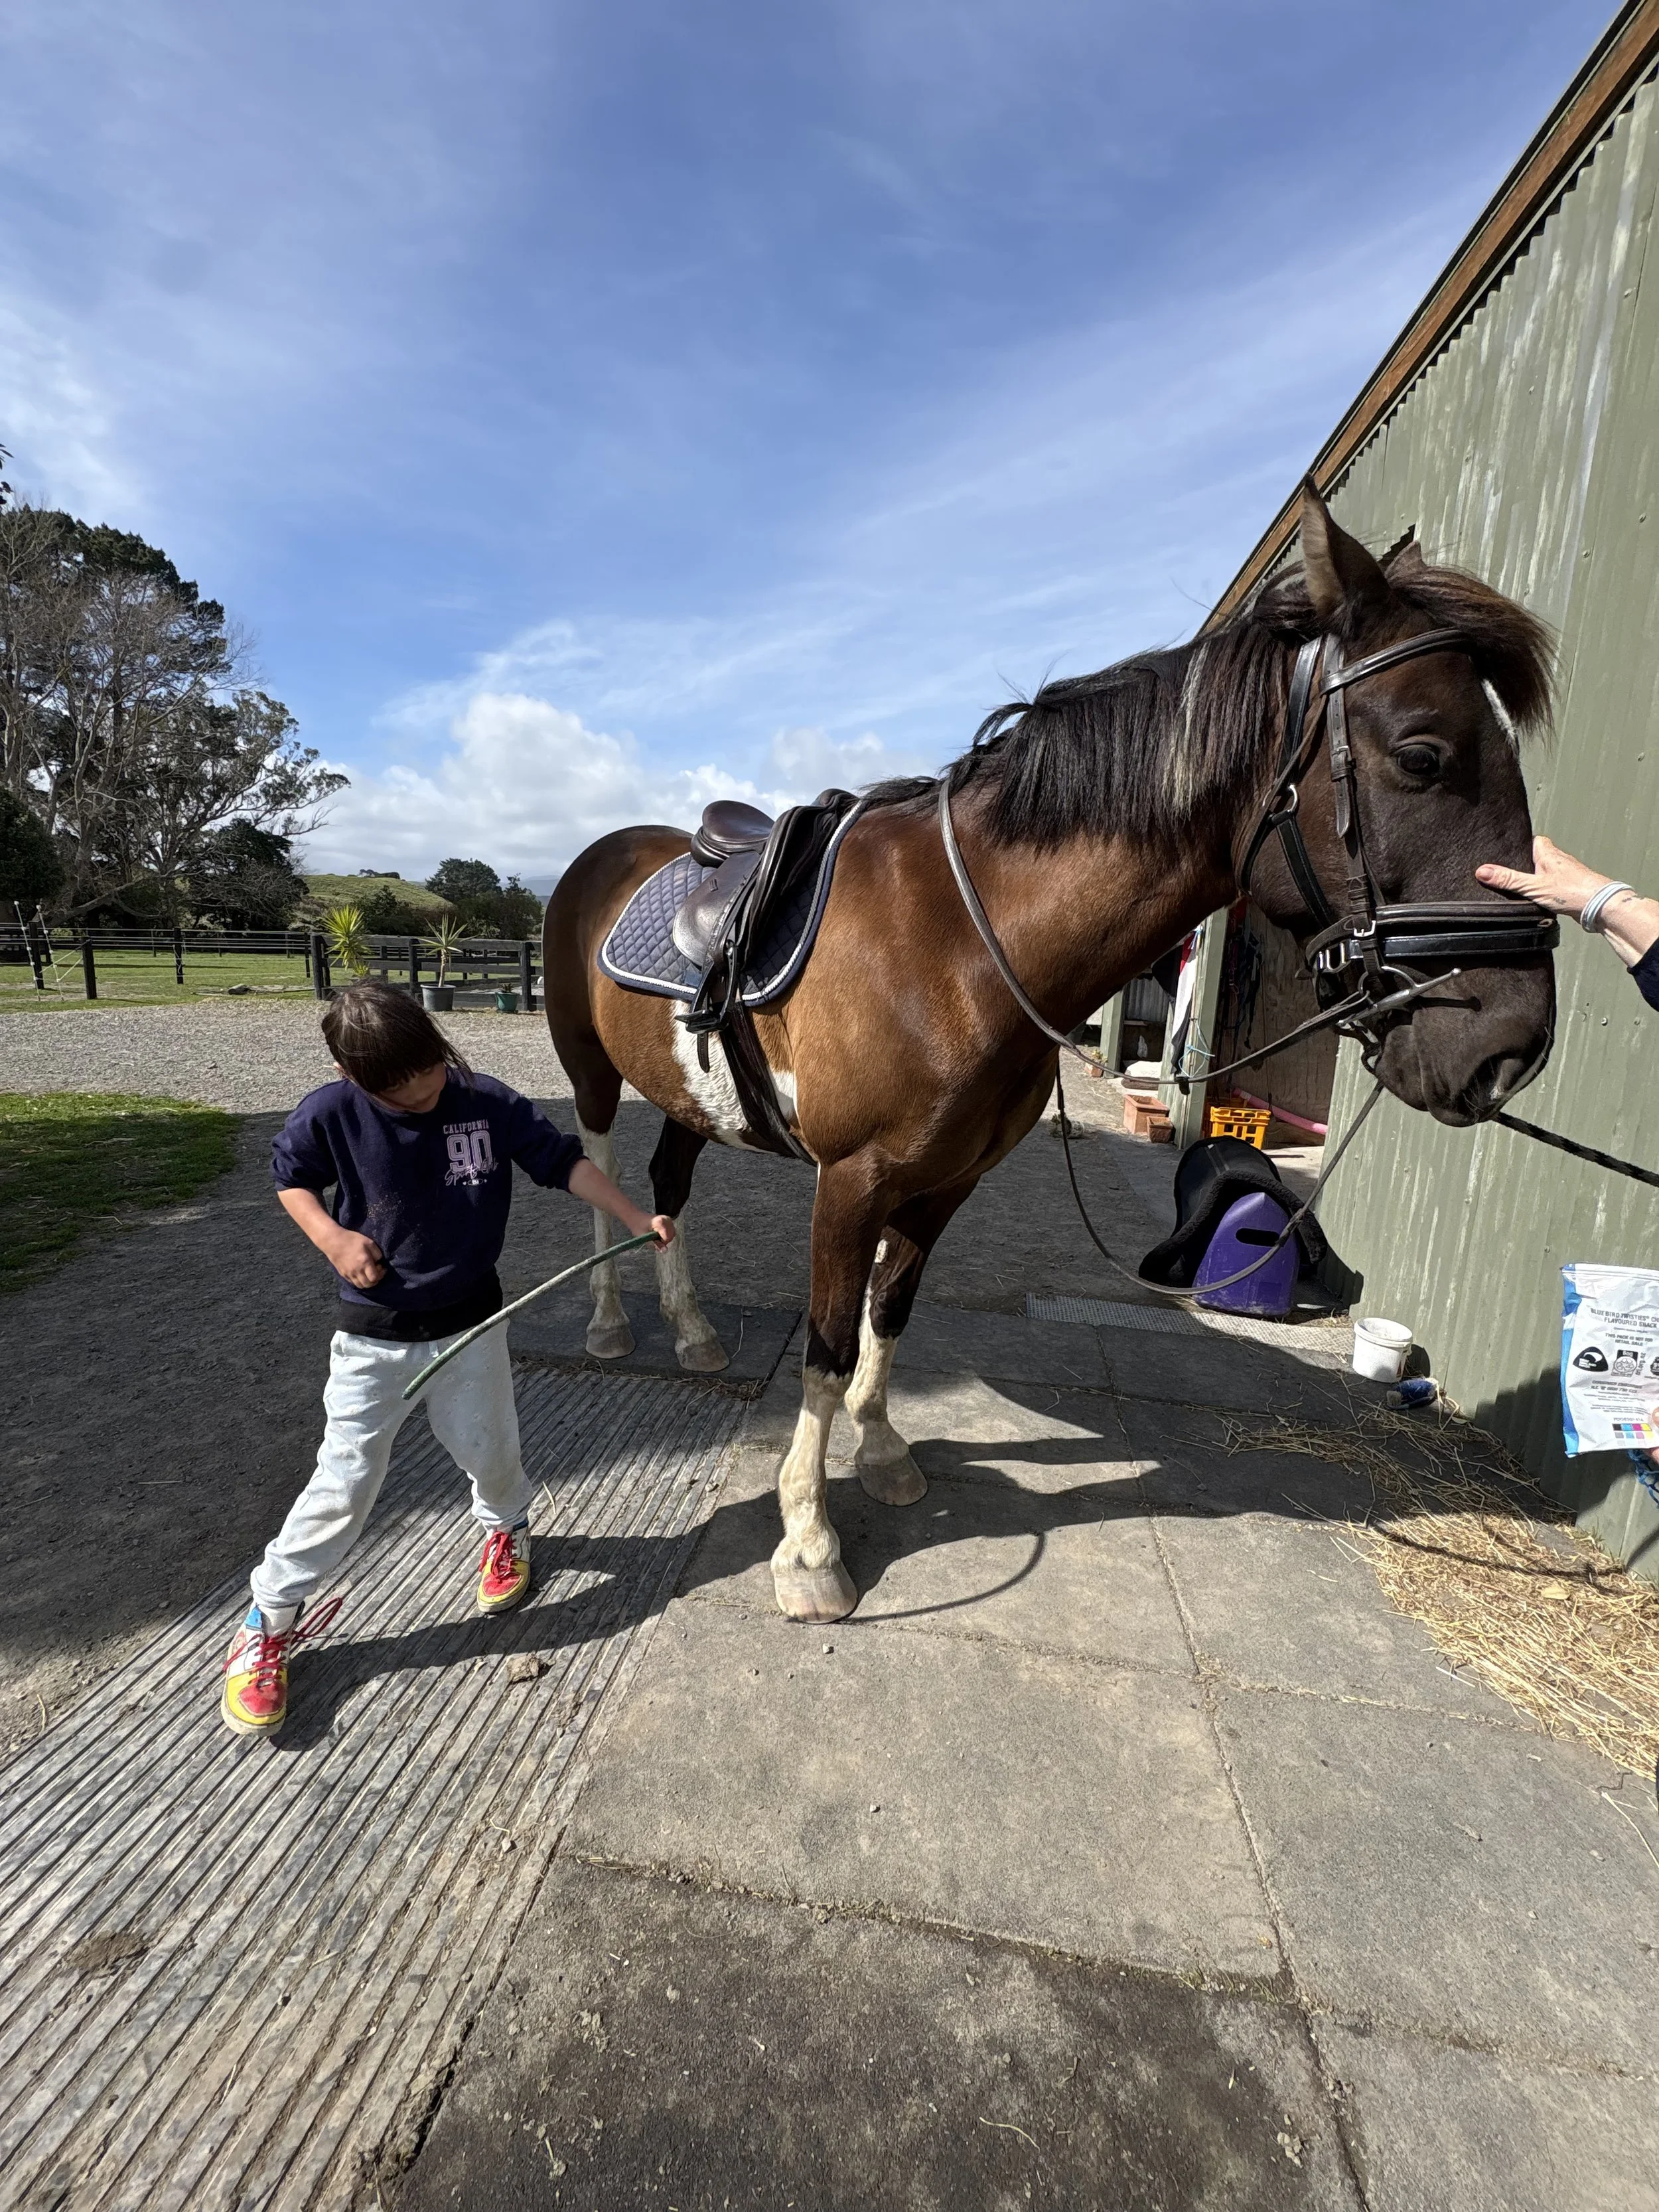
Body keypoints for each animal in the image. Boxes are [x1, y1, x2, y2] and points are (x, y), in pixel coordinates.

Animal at [543, 484, 1556, 1625]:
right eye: (1424, 754)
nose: (1511, 1043)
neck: (955, 940)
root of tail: (600, 855)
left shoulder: (945, 1182)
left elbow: (889, 1317)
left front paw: (883, 1455)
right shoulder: (850, 1183)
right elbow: (828, 1342)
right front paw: (808, 1544)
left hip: (689, 1098)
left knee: (669, 1185)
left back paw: (691, 1333)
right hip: (592, 1078)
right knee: (601, 1175)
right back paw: (610, 1327)